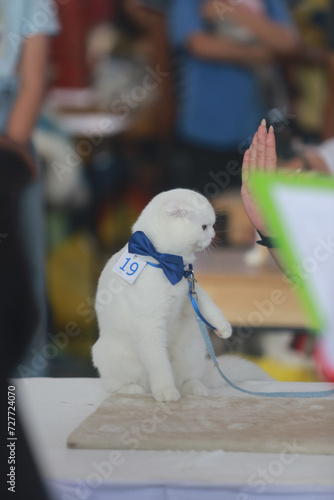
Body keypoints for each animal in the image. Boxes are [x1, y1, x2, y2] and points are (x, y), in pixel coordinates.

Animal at [92, 188, 268, 402]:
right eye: (204, 227)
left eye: (212, 226)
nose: (213, 235)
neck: (166, 262)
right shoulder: (149, 325)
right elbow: (160, 366)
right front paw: (166, 391)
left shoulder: (191, 289)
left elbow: (211, 307)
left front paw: (224, 329)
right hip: (116, 359)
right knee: (115, 384)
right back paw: (133, 389)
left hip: (192, 350)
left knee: (186, 380)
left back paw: (195, 388)